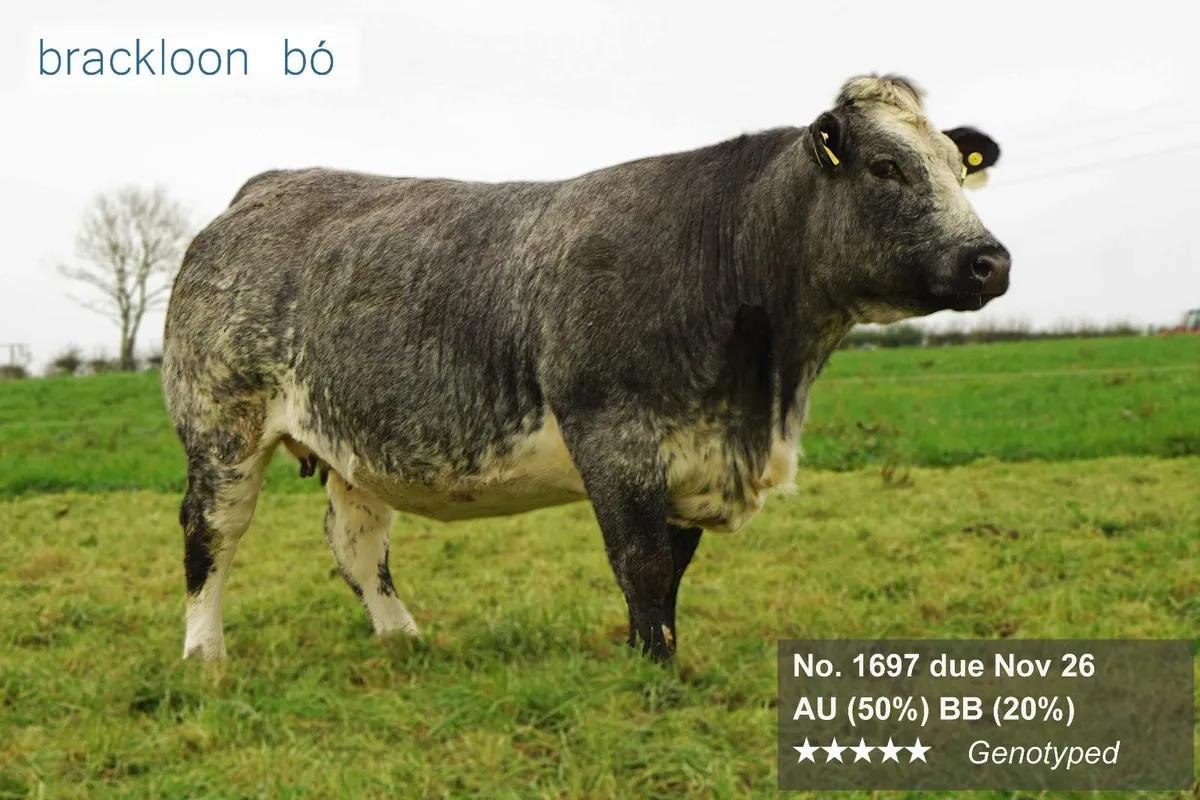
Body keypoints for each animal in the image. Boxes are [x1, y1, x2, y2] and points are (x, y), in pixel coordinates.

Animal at [163, 74, 1009, 664]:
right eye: (885, 167)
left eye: (958, 168)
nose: (990, 261)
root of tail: (267, 187)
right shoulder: (615, 434)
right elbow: (641, 565)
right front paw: (653, 674)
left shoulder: (690, 457)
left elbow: (671, 572)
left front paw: (653, 656)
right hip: (221, 425)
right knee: (211, 533)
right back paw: (204, 653)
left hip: (351, 443)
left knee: (356, 541)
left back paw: (403, 638)